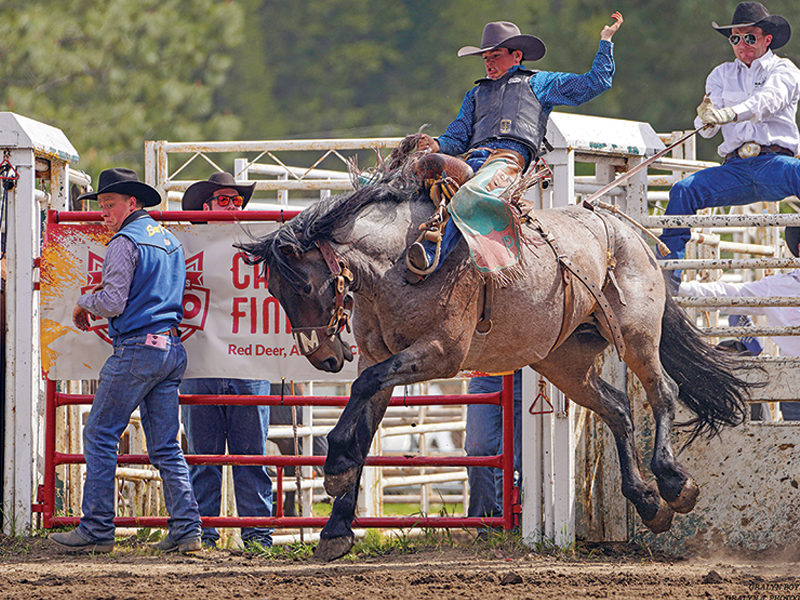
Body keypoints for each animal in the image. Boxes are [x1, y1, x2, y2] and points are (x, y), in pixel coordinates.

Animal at [236, 154, 758, 562]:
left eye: (304, 286)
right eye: (274, 291)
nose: (322, 357)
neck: (402, 262)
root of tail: (620, 227)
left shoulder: (440, 355)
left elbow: (361, 397)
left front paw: (336, 469)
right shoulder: (378, 358)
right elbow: (365, 425)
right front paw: (336, 529)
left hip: (635, 334)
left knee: (663, 392)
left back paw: (673, 483)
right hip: (562, 361)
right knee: (617, 408)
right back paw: (647, 503)